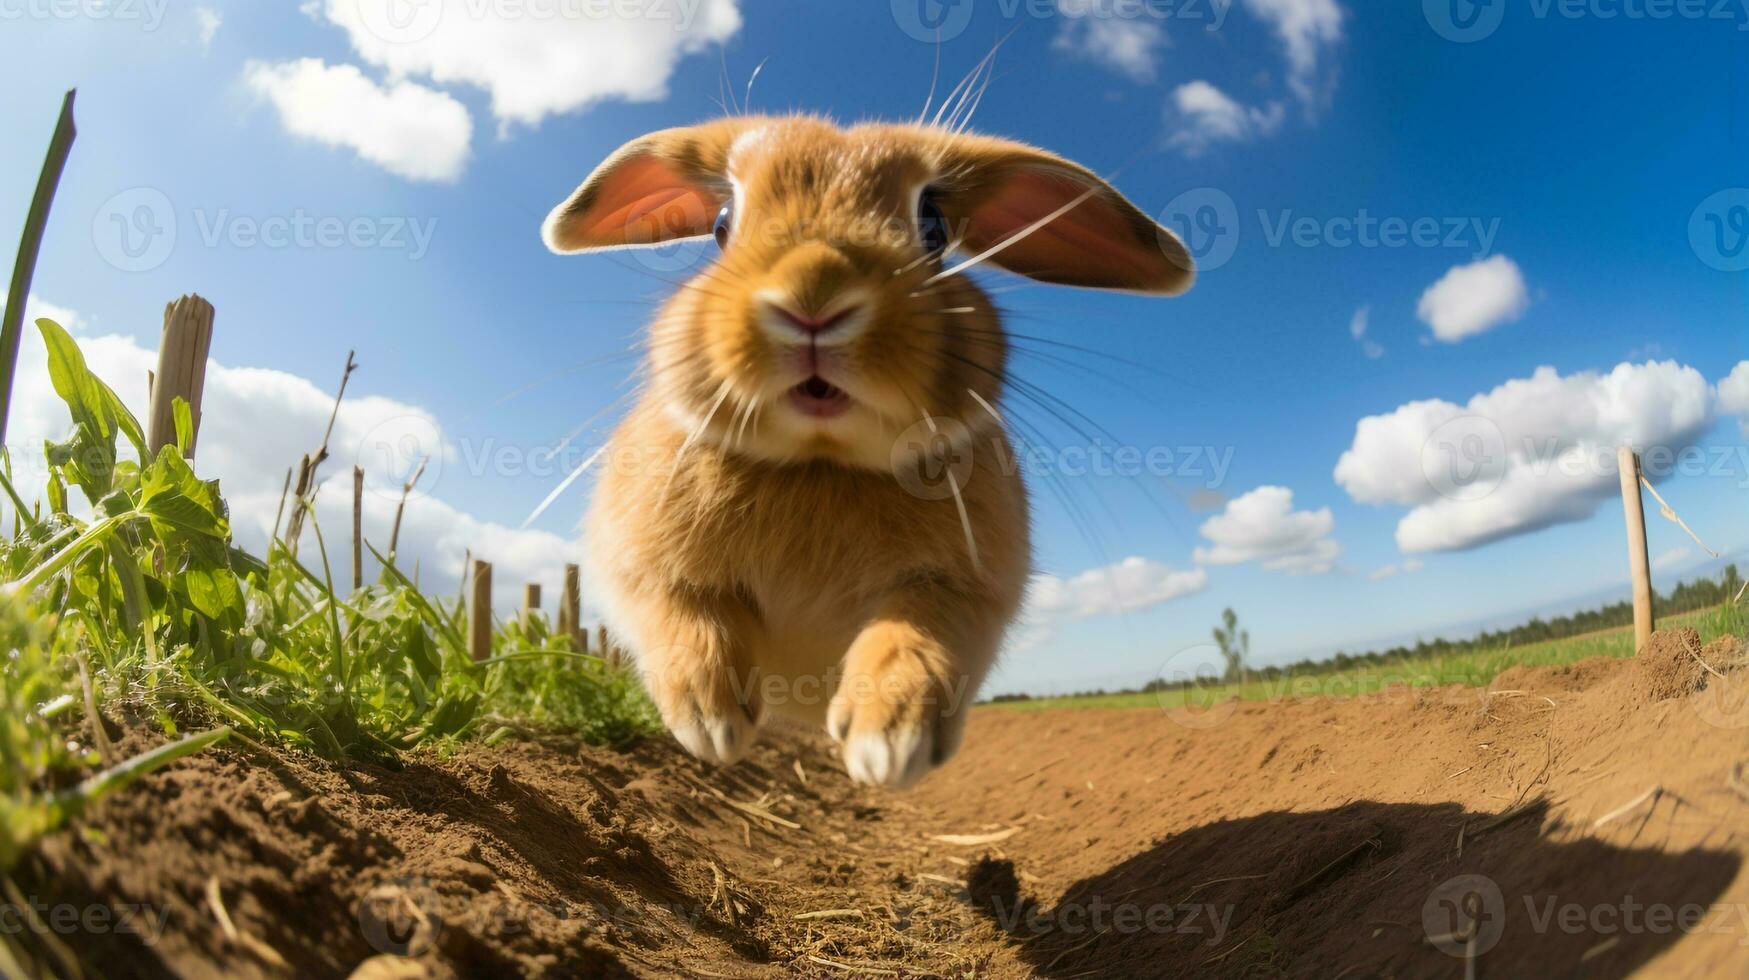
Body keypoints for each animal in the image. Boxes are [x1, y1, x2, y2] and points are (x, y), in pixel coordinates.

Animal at [545, 116, 1196, 787]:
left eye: (933, 226)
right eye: (723, 223)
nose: (813, 293)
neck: (820, 463)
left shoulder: (962, 590)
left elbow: (918, 633)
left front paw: (889, 741)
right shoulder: (643, 567)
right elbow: (681, 612)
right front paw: (711, 718)